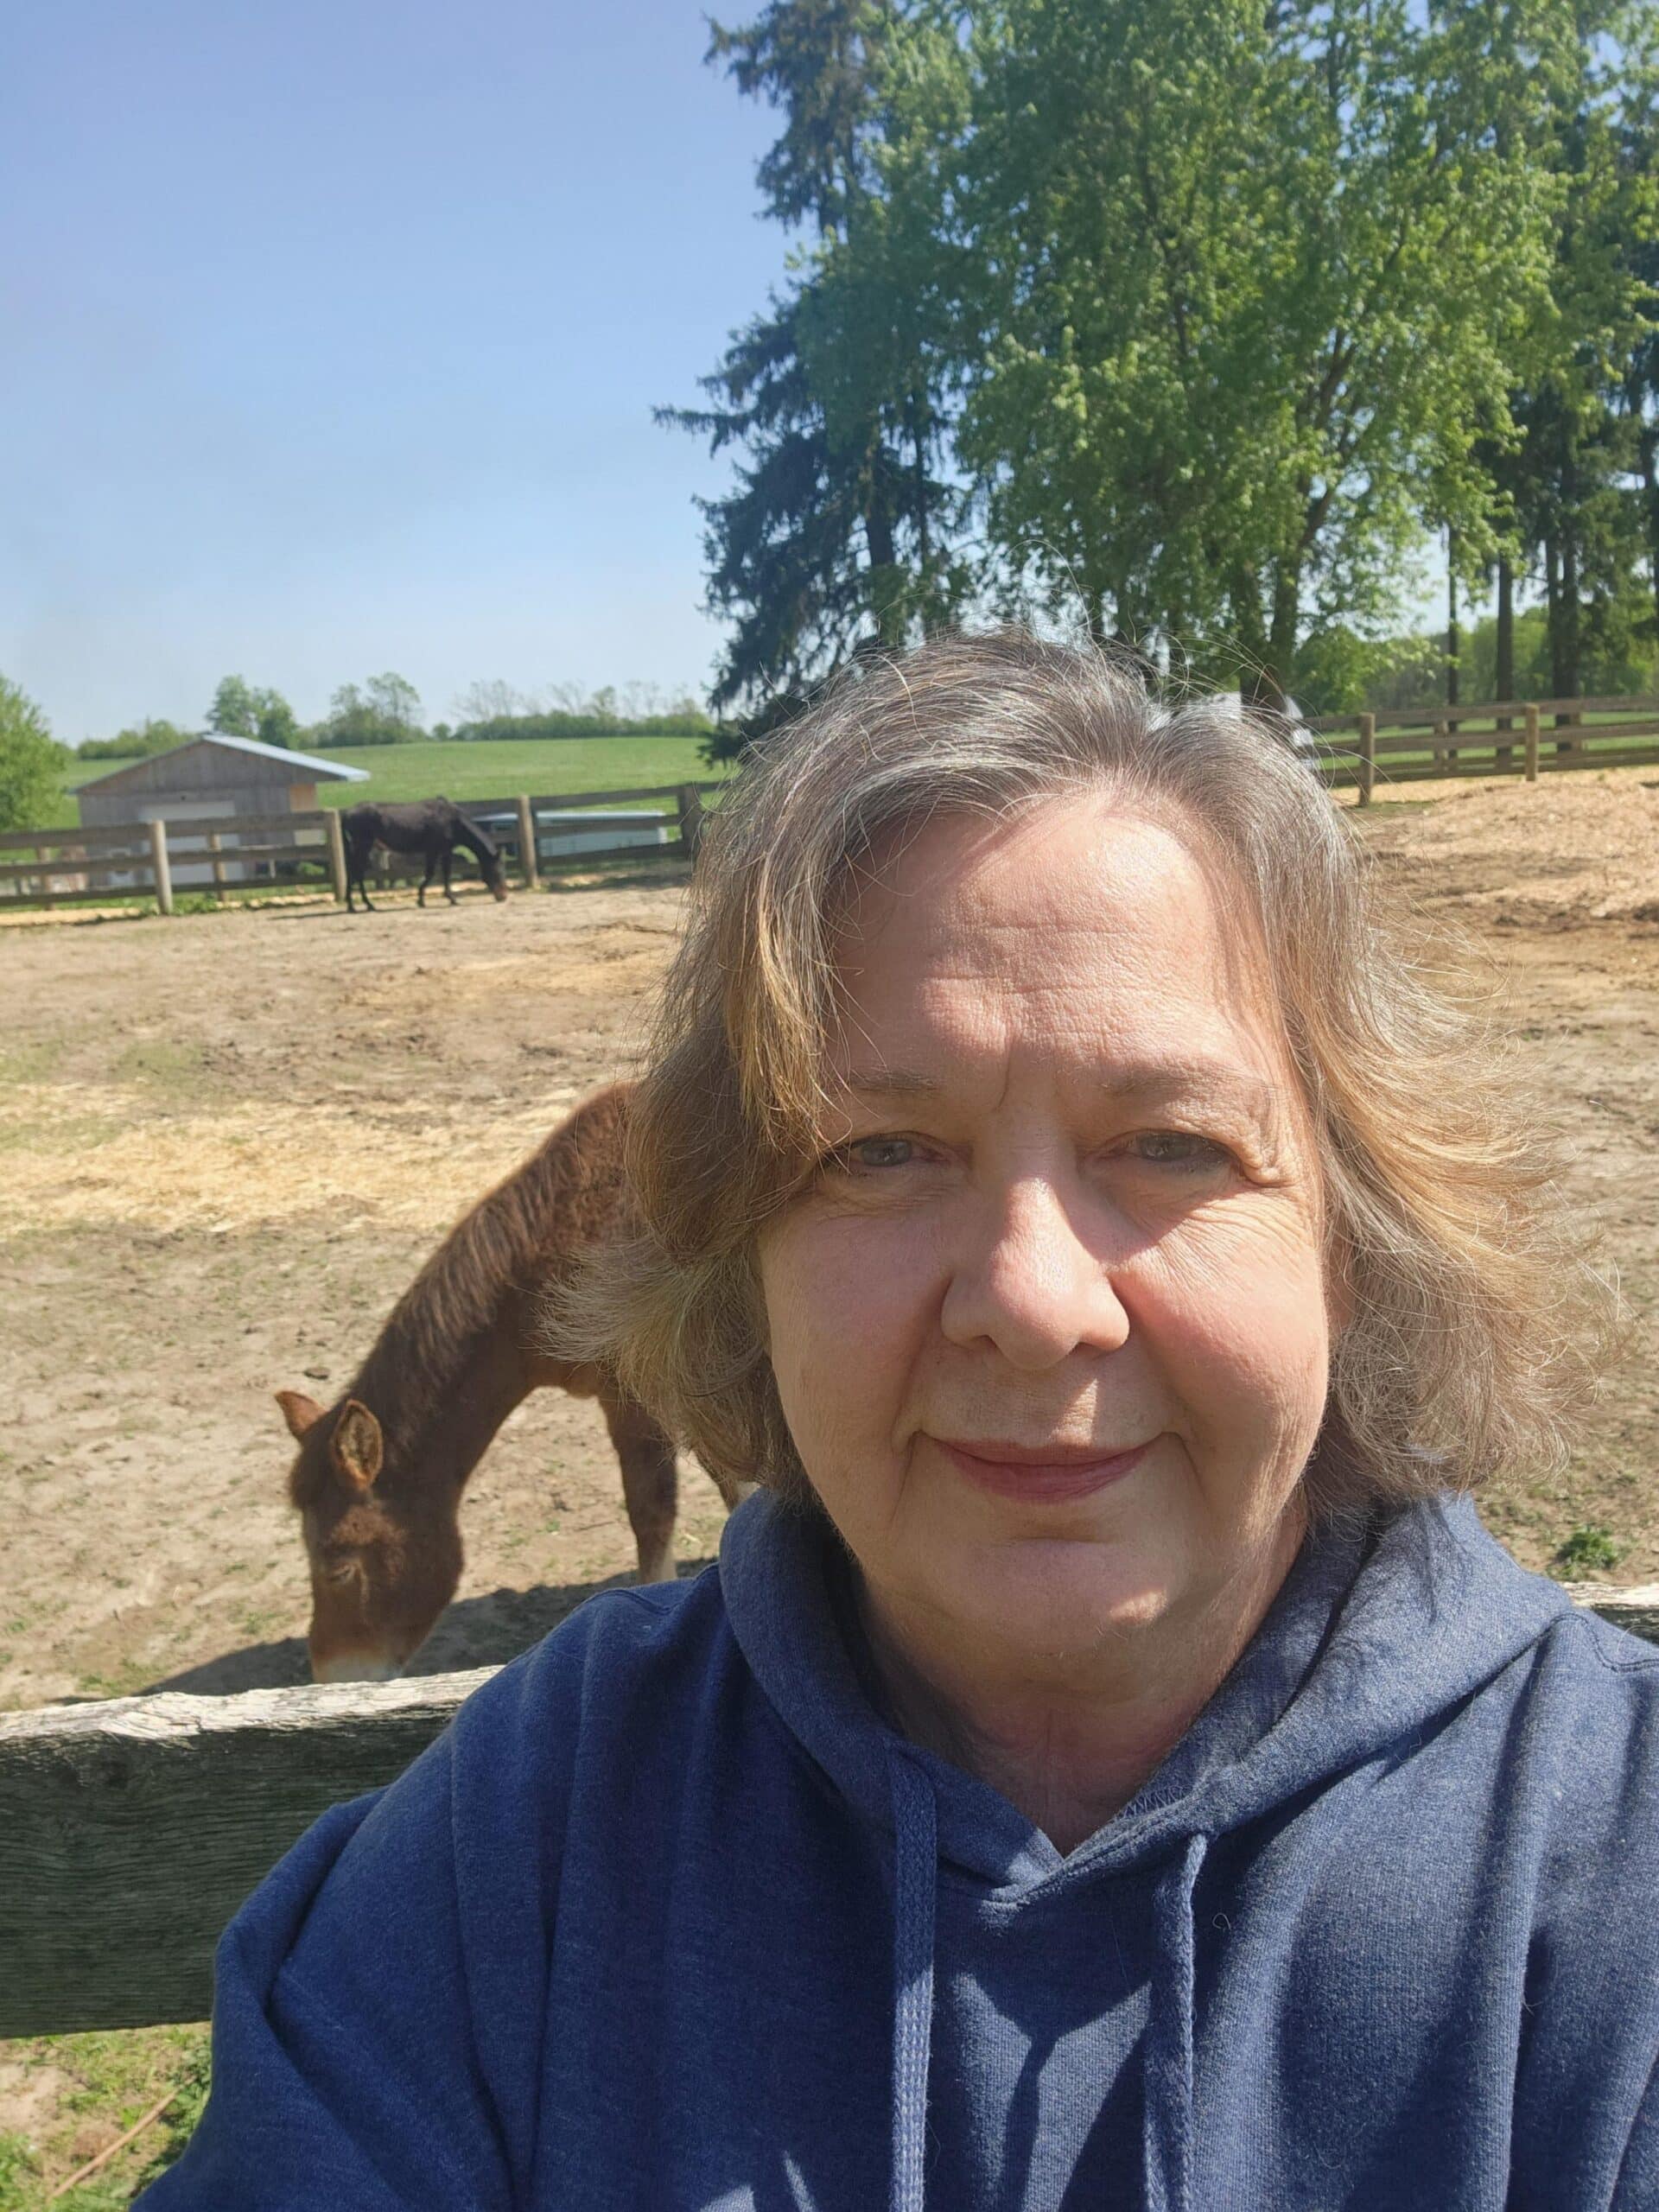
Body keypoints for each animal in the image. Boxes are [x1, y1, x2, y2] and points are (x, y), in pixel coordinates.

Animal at [340, 800, 511, 911]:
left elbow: (445, 874)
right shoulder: (434, 851)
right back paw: (365, 904)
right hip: (363, 846)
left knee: (353, 872)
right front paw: (423, 899)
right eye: (498, 871)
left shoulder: (445, 851)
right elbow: (431, 874)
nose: (503, 896)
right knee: (356, 873)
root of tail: (347, 812)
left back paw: (353, 905)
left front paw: (447, 898)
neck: (452, 820)